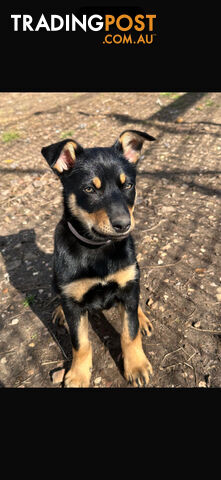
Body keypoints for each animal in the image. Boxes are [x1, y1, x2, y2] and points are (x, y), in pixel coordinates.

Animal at [41, 129, 155, 388]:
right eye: (89, 190)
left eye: (128, 185)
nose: (124, 224)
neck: (98, 248)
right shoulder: (74, 302)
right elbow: (80, 344)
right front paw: (78, 375)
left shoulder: (127, 282)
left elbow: (130, 332)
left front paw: (136, 366)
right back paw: (59, 312)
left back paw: (142, 317)